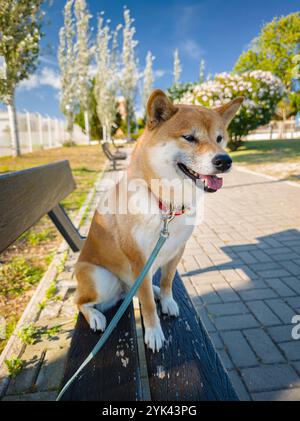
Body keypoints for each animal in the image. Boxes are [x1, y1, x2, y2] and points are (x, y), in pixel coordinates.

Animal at [75, 88, 244, 352]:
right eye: (189, 137)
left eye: (219, 138)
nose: (225, 160)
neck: (166, 205)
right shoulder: (139, 261)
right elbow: (147, 305)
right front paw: (154, 333)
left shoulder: (176, 250)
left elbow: (167, 281)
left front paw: (167, 301)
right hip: (99, 278)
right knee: (80, 302)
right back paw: (95, 317)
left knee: (133, 290)